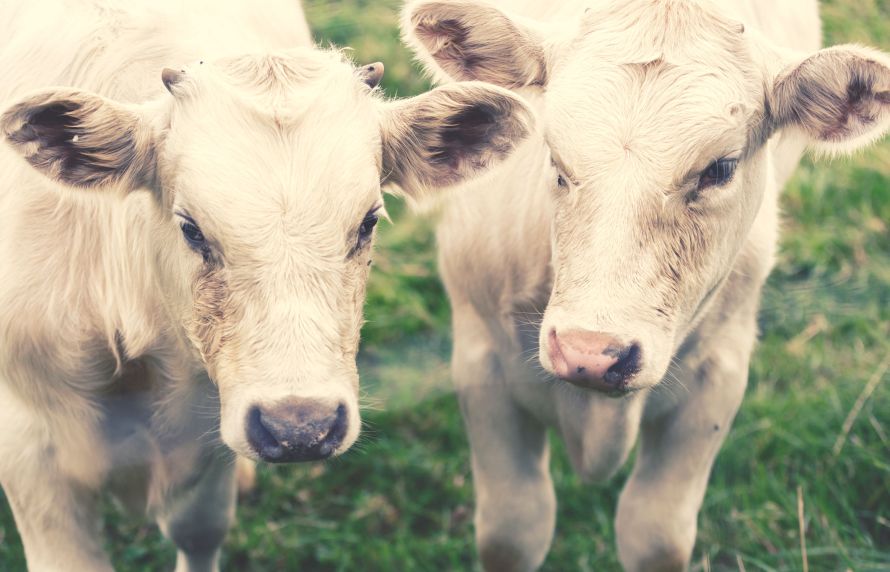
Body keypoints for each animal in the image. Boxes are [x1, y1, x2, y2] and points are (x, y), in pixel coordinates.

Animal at [404, 0, 888, 568]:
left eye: (720, 168)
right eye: (555, 157)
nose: (589, 352)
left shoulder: (717, 376)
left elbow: (654, 534)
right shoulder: (481, 361)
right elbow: (514, 529)